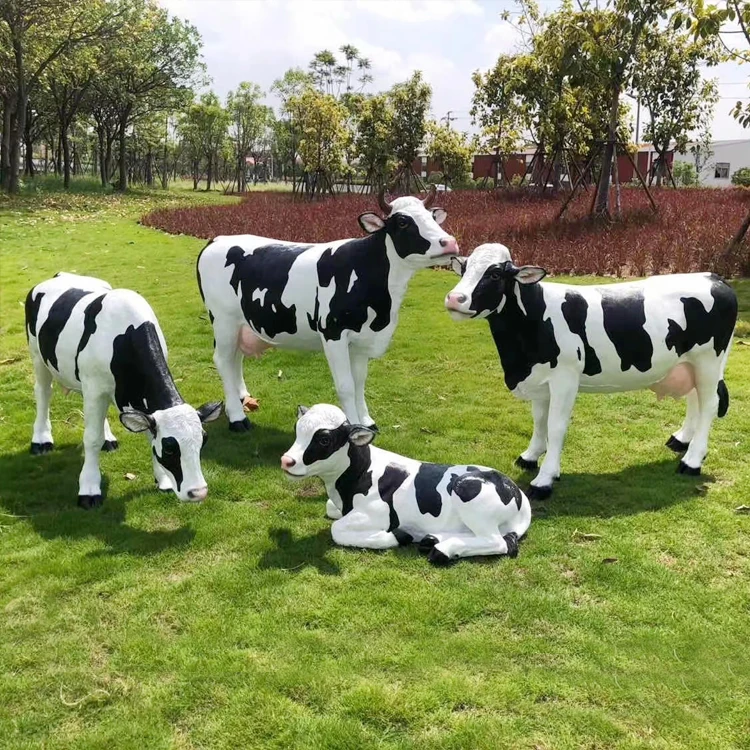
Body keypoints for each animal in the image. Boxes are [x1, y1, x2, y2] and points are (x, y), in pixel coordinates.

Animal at [25, 273, 223, 509]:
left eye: (204, 440)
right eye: (169, 448)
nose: (198, 492)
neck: (124, 335)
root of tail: (61, 275)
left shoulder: (126, 393)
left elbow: (147, 434)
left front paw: (163, 480)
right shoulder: (95, 387)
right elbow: (91, 438)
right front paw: (89, 489)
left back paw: (108, 438)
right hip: (38, 356)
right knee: (43, 392)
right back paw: (41, 440)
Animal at [196, 186, 459, 432]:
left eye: (432, 217)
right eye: (403, 221)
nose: (450, 243)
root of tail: (218, 238)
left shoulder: (363, 339)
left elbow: (359, 382)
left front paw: (367, 421)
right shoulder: (333, 333)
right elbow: (346, 386)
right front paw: (354, 426)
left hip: (242, 323)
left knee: (235, 358)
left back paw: (243, 398)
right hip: (224, 319)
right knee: (223, 359)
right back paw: (237, 418)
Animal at [280, 404, 532, 565]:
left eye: (324, 439)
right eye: (296, 430)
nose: (286, 460)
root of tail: (516, 490)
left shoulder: (377, 514)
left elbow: (336, 529)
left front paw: (395, 536)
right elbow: (330, 510)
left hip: (469, 493)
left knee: (497, 542)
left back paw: (442, 549)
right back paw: (433, 539)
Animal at [445, 243, 738, 499]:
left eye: (494, 273)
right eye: (464, 269)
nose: (454, 298)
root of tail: (712, 277)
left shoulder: (565, 377)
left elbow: (555, 426)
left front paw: (545, 478)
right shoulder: (540, 378)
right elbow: (539, 420)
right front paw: (530, 456)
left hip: (709, 359)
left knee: (709, 404)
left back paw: (692, 461)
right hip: (689, 363)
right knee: (695, 399)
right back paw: (682, 441)